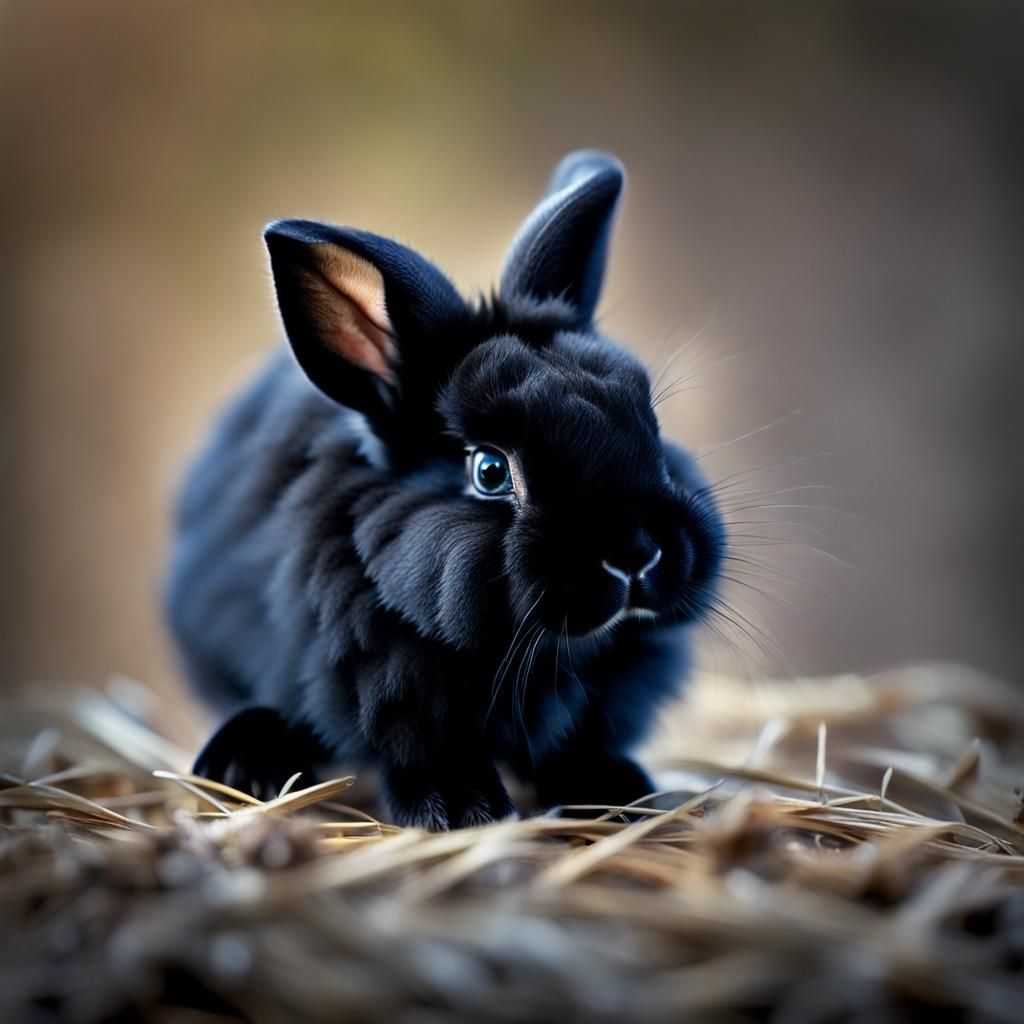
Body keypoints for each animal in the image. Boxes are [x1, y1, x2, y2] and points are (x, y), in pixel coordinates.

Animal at [165, 150, 724, 829]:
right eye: (489, 471)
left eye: (649, 425)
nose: (637, 554)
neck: (542, 654)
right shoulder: (393, 693)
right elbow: (426, 754)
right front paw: (462, 811)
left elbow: (579, 748)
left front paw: (619, 795)